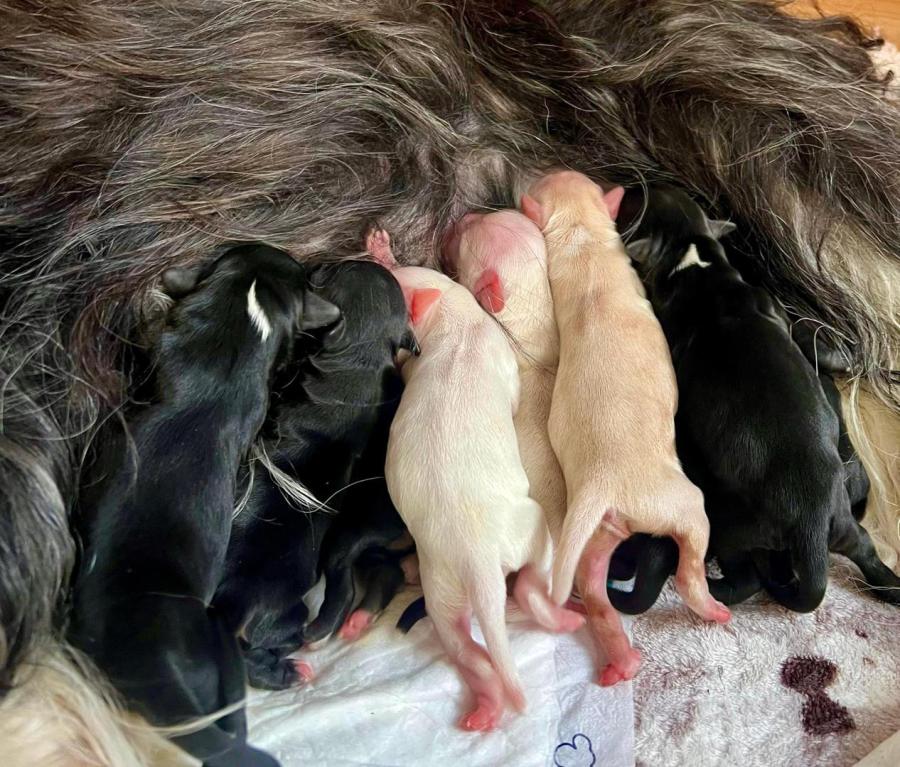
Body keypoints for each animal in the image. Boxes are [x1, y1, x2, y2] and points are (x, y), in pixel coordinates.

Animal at [213, 259, 417, 689]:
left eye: (328, 274)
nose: (316, 265)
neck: (359, 360)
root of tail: (236, 601)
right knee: (382, 572)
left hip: (321, 570)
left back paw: (303, 655)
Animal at [369, 228, 582, 732]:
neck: (458, 321)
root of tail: (478, 559)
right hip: (525, 534)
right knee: (526, 587)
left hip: (445, 580)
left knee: (463, 641)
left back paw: (486, 703)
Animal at [520, 170, 730, 687]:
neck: (581, 239)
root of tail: (603, 485)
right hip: (685, 505)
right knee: (689, 568)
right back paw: (711, 609)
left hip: (597, 535)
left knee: (594, 588)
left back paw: (621, 661)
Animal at [612, 185, 900, 613]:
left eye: (637, 202)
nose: (633, 188)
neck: (695, 258)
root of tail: (811, 524)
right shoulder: (775, 309)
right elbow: (807, 340)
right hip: (843, 526)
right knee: (864, 550)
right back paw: (892, 587)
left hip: (735, 531)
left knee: (745, 578)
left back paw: (711, 589)